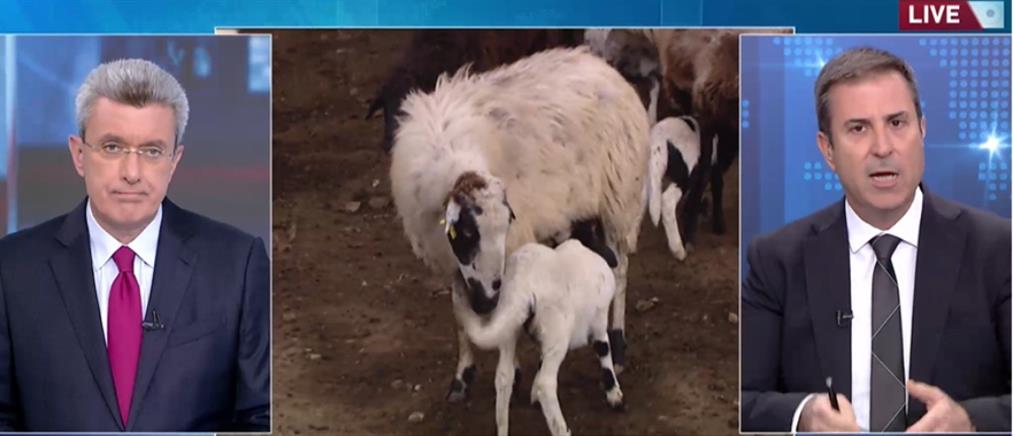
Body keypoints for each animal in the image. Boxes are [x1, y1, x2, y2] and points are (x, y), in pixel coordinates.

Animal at [390, 46, 650, 402]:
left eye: (505, 227)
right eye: (466, 234)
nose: (486, 300)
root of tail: (599, 63)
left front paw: (511, 368)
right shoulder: (449, 259)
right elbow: (459, 313)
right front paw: (462, 377)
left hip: (619, 199)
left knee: (619, 269)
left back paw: (618, 344)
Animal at [451, 238, 622, 436]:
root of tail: (522, 284)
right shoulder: (599, 322)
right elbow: (604, 351)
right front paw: (615, 395)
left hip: (509, 324)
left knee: (504, 376)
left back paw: (503, 428)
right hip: (557, 334)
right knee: (546, 384)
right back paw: (561, 429)